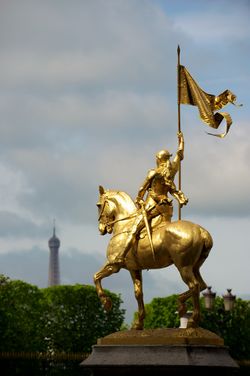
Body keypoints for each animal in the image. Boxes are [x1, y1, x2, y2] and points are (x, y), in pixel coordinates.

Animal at [94, 186, 213, 328]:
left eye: (98, 205)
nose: (101, 229)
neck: (124, 227)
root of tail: (201, 231)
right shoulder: (134, 269)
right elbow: (138, 293)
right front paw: (139, 323)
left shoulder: (113, 266)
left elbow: (96, 277)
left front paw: (106, 302)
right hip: (195, 267)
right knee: (202, 285)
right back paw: (181, 304)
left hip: (183, 267)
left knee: (194, 286)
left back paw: (192, 320)